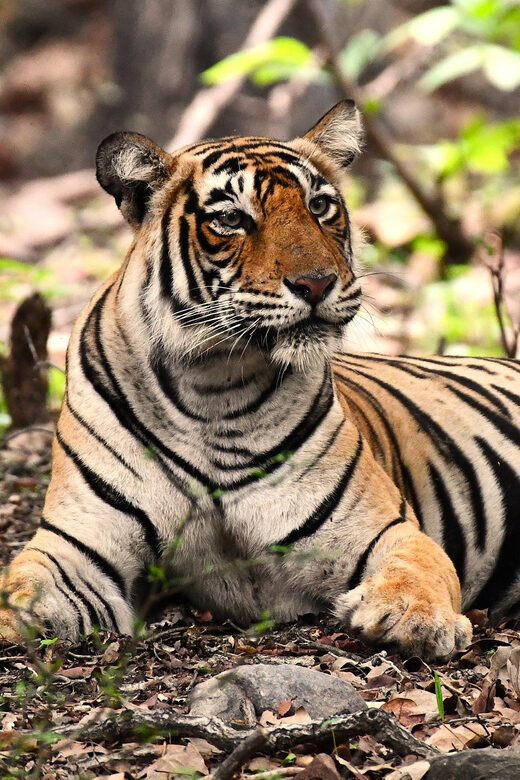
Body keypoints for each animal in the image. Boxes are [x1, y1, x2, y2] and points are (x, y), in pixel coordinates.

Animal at [1, 100, 519, 661]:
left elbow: (420, 566)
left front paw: (412, 617)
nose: (317, 283)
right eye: (232, 218)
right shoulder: (75, 546)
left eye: (320, 206)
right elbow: (20, 586)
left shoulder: (386, 528)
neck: (213, 384)